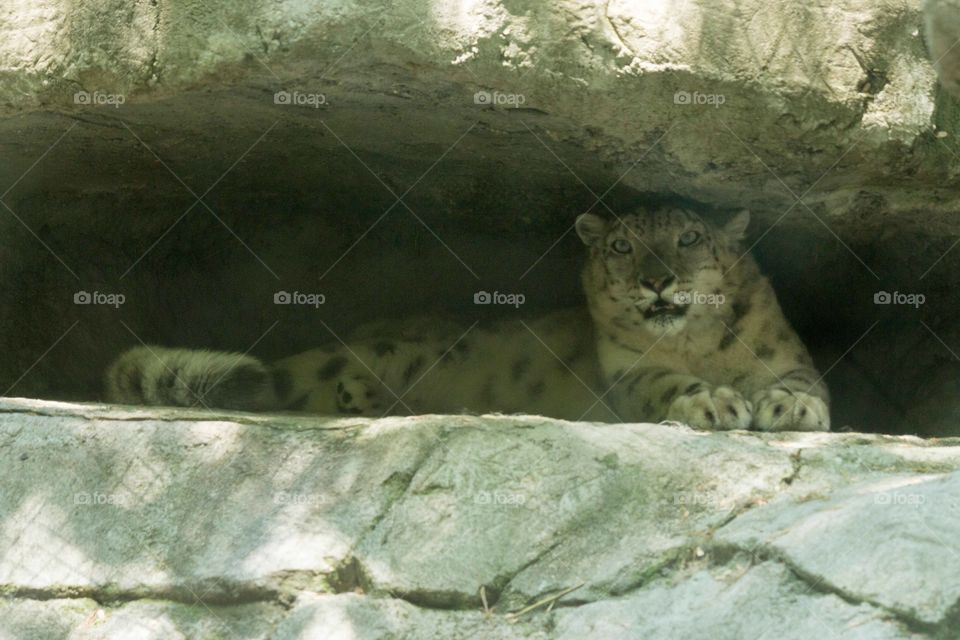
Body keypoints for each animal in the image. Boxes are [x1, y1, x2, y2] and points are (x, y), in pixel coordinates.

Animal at [105, 204, 830, 432]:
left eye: (690, 237)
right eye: (623, 247)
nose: (656, 280)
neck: (695, 345)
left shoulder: (787, 354)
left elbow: (802, 383)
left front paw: (790, 409)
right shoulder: (632, 375)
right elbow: (667, 384)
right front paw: (712, 402)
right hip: (386, 351)